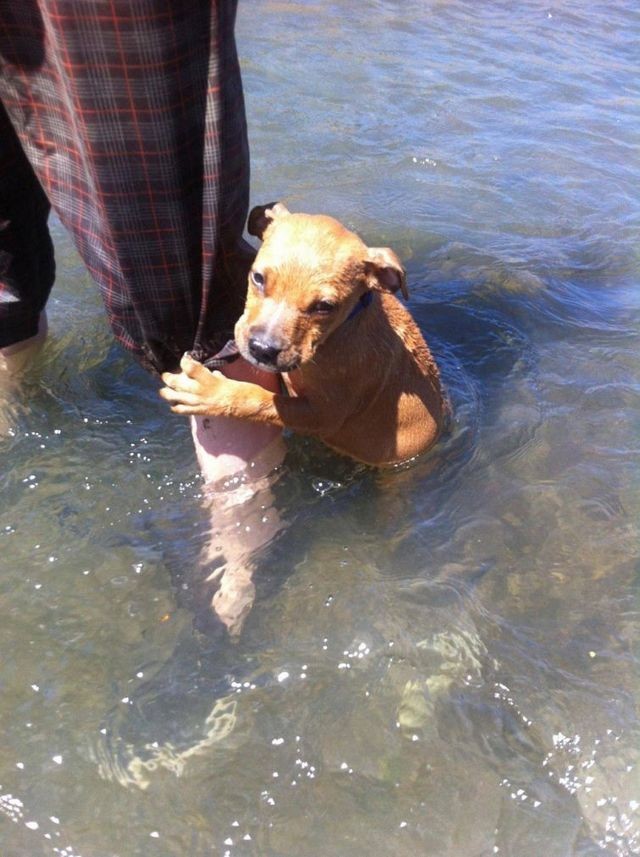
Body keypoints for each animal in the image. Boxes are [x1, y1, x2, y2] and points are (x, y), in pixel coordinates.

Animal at [160, 203, 444, 464]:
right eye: (257, 277)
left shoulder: (324, 414)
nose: (262, 349)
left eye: (325, 306)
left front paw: (210, 393)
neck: (342, 329)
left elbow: (260, 400)